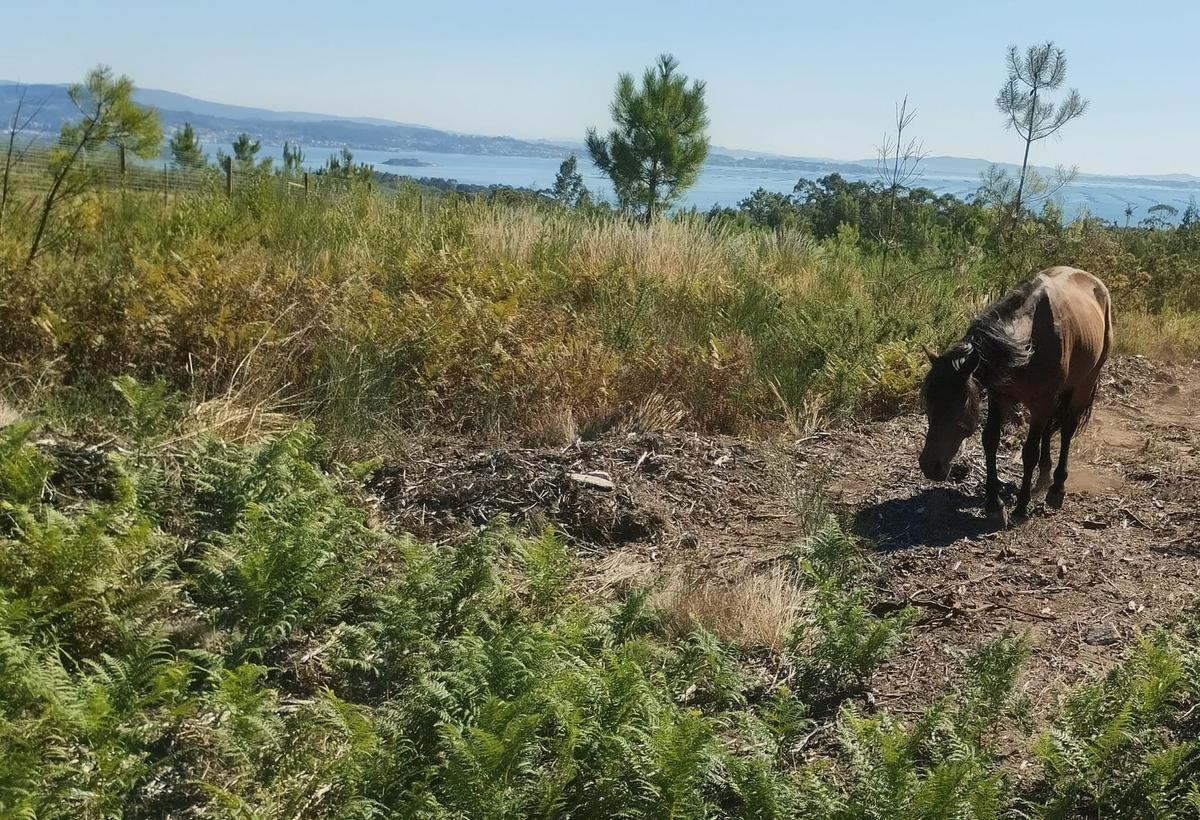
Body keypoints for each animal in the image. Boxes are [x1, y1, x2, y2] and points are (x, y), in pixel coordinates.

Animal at [919, 266, 1113, 527]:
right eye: (929, 403)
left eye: (958, 404)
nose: (929, 466)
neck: (1027, 342)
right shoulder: (1000, 397)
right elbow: (990, 441)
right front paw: (994, 504)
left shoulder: (1041, 403)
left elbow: (1029, 452)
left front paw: (1021, 506)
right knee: (1049, 431)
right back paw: (1043, 479)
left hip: (1083, 384)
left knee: (1066, 430)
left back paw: (1057, 488)